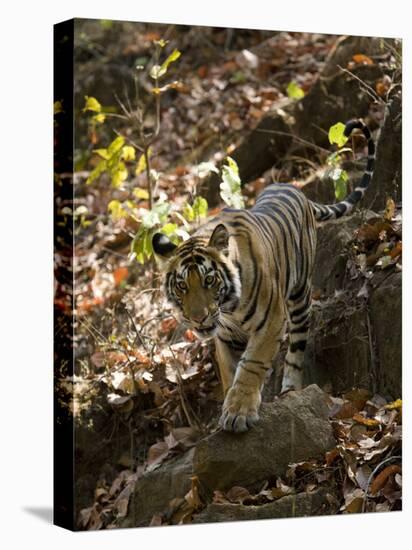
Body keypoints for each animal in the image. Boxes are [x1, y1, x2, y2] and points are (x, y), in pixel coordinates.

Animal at [153, 121, 374, 436]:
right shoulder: (224, 337)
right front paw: (232, 402)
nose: (197, 319)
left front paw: (238, 411)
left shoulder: (272, 321)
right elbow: (230, 372)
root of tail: (295, 188)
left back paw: (290, 388)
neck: (228, 309)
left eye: (209, 281)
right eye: (182, 285)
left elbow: (251, 365)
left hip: (299, 298)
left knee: (296, 348)